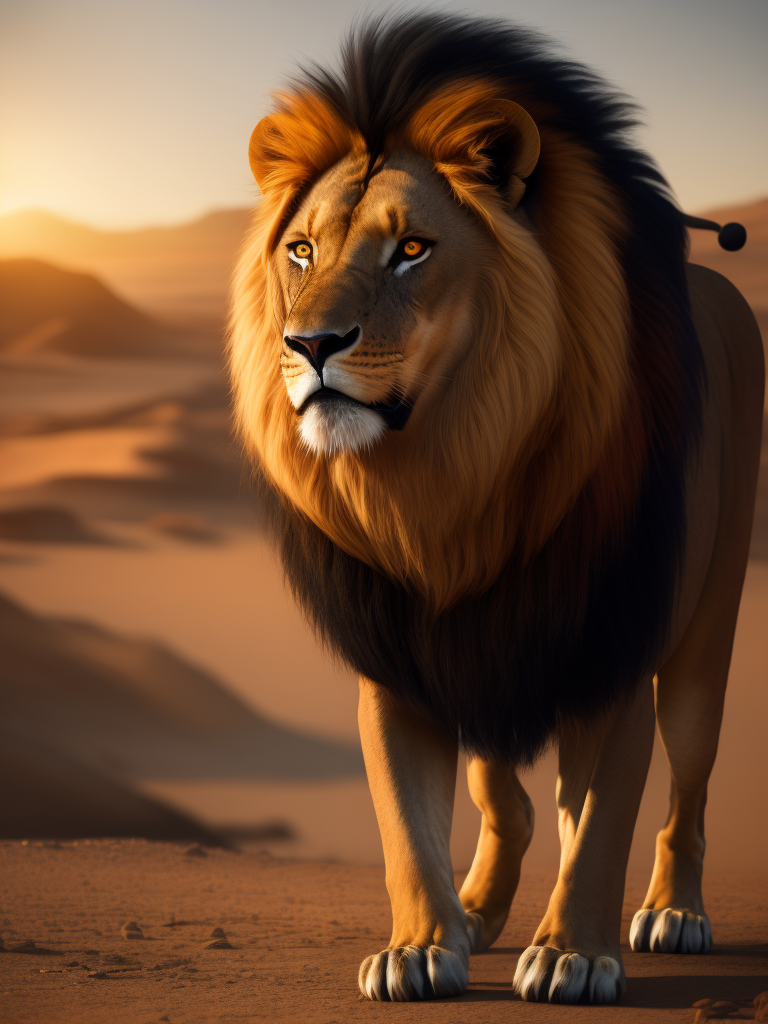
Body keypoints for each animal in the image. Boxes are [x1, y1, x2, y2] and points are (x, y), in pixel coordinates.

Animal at [228, 13, 763, 1005]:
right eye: (302, 251)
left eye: (411, 248)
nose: (309, 343)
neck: (450, 477)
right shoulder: (405, 657)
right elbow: (409, 823)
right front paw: (419, 945)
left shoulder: (610, 648)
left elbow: (604, 821)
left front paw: (573, 954)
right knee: (508, 795)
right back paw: (479, 909)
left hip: (703, 639)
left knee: (686, 785)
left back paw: (672, 910)